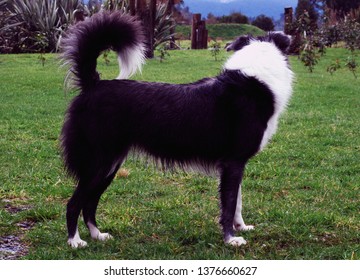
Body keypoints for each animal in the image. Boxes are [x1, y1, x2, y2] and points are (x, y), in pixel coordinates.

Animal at [60, 11, 294, 247]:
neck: (253, 81)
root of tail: (93, 84)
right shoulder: (233, 162)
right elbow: (229, 204)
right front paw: (230, 238)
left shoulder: (235, 164)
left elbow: (237, 200)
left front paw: (241, 227)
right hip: (99, 161)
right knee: (74, 203)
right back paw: (74, 241)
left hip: (109, 164)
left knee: (89, 202)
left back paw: (97, 234)